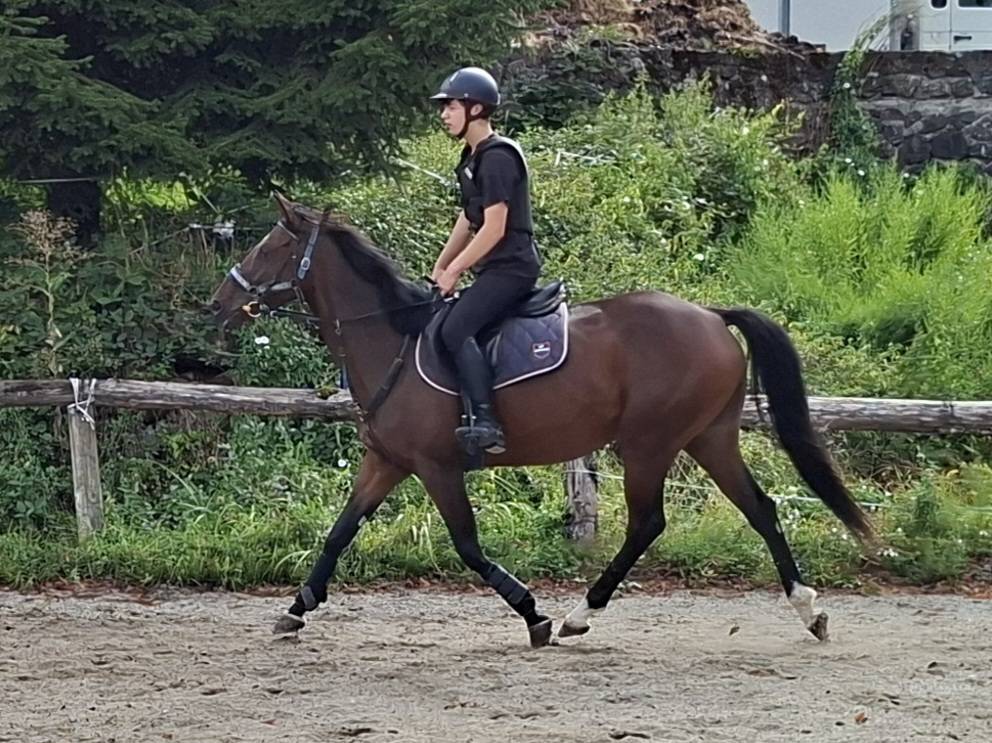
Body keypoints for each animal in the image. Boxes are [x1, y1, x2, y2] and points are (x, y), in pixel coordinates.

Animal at [208, 193, 873, 648]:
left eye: (271, 248)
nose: (218, 304)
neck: (391, 337)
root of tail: (711, 315)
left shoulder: (436, 467)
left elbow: (468, 545)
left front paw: (534, 613)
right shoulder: (388, 461)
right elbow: (340, 532)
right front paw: (295, 609)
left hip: (649, 442)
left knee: (648, 523)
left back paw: (581, 614)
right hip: (709, 438)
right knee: (760, 508)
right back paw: (810, 610)